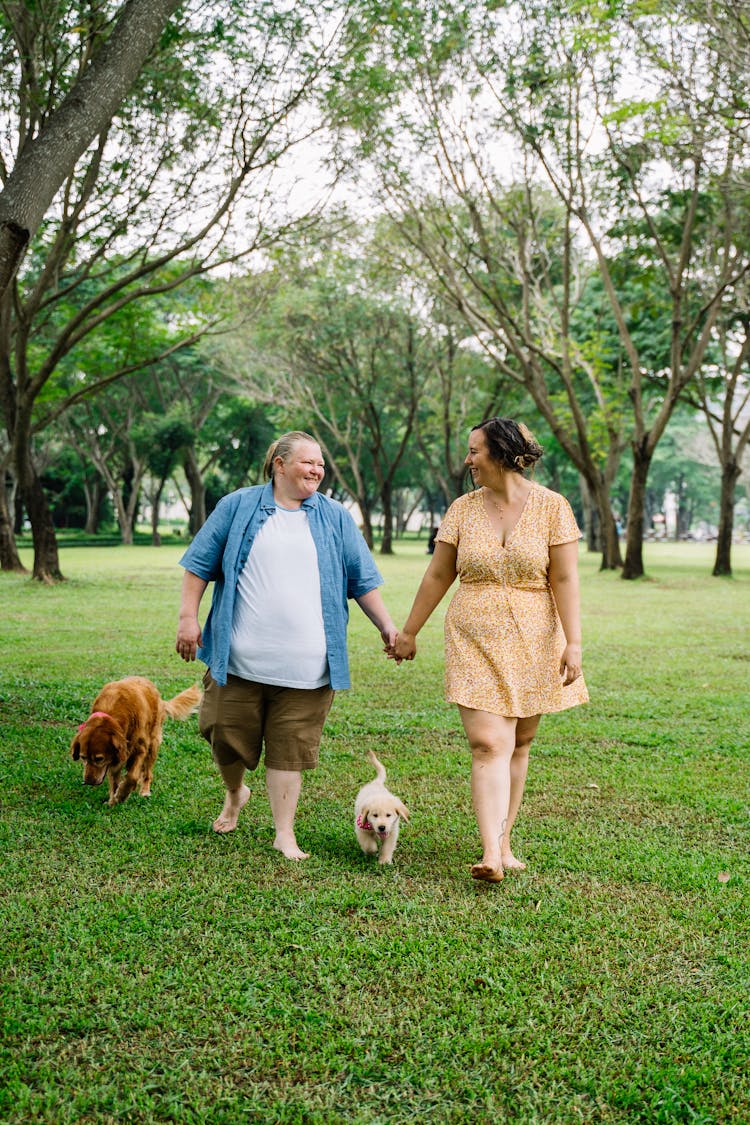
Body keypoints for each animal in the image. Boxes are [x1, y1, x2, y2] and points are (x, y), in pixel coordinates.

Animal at [71, 670, 201, 805]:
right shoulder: (116, 757)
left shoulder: (139, 749)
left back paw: (144, 790)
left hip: (153, 745)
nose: (88, 782)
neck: (112, 710)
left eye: (99, 759)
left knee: (147, 773)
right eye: (83, 757)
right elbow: (115, 781)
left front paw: (122, 795)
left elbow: (132, 777)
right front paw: (113, 800)